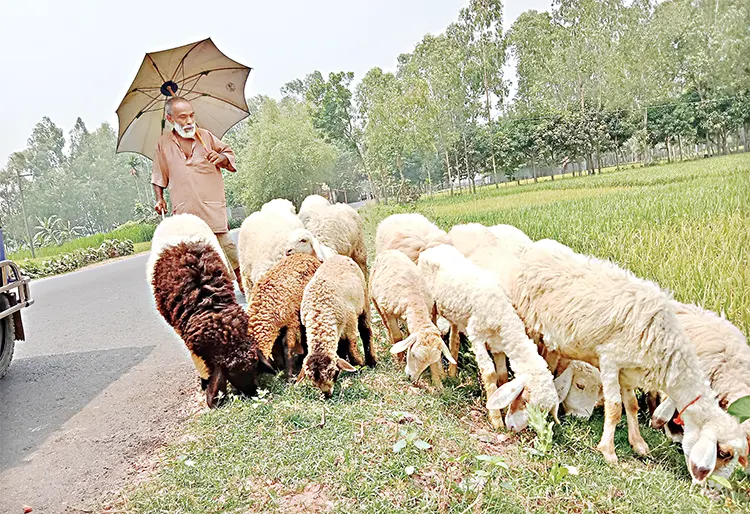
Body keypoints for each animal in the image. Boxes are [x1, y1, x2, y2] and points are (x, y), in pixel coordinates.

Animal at [298, 253, 376, 396]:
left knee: (366, 332)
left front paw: (360, 365)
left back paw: (371, 361)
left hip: (364, 302)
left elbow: (352, 348)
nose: (327, 395)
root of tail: (340, 256)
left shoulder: (350, 322)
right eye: (313, 381)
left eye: (333, 373)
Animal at [370, 250, 458, 386]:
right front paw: (399, 361)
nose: (411, 378)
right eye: (413, 355)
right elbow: (397, 336)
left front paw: (437, 379)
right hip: (376, 301)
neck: (414, 300)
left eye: (429, 362)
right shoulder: (389, 312)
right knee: (387, 326)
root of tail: (389, 251)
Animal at [420, 243, 560, 428]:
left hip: (455, 314)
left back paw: (451, 373)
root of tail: (433, 248)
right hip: (431, 303)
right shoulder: (477, 336)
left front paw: (501, 406)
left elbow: (502, 375)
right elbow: (490, 373)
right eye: (525, 400)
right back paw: (440, 376)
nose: (514, 427)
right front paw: (496, 419)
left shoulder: (498, 345)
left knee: (454, 339)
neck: (502, 313)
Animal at [508, 239, 748, 480]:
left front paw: (639, 444)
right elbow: (615, 408)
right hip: (527, 321)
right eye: (724, 453)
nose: (716, 485)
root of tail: (535, 248)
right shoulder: (610, 361)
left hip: (549, 338)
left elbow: (631, 406)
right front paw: (608, 451)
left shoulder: (628, 372)